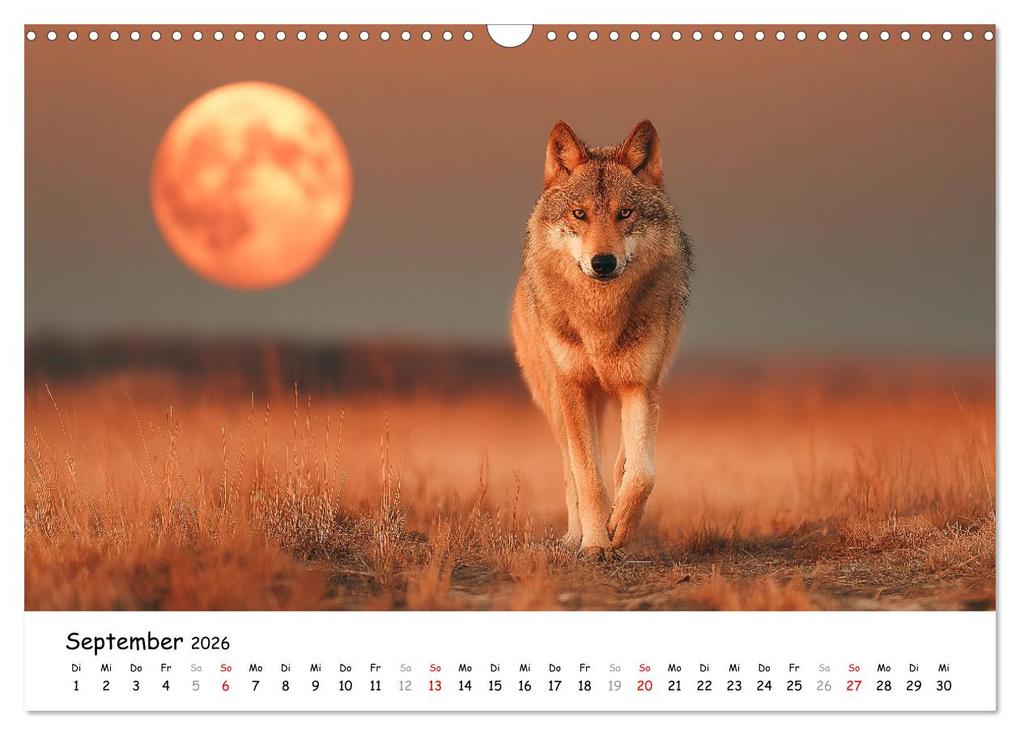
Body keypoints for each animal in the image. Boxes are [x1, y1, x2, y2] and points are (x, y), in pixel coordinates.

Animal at [510, 120, 693, 558]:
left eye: (624, 213)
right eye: (580, 214)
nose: (603, 262)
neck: (600, 321)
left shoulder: (640, 384)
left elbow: (641, 475)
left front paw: (620, 529)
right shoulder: (574, 389)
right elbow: (587, 478)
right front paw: (595, 544)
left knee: (624, 459)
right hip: (557, 403)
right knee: (571, 470)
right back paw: (575, 536)